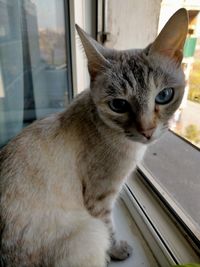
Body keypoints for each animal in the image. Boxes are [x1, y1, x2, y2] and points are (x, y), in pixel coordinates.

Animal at [0, 7, 188, 267]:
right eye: (119, 105)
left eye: (164, 96)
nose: (147, 131)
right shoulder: (100, 198)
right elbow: (109, 228)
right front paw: (117, 250)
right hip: (90, 232)